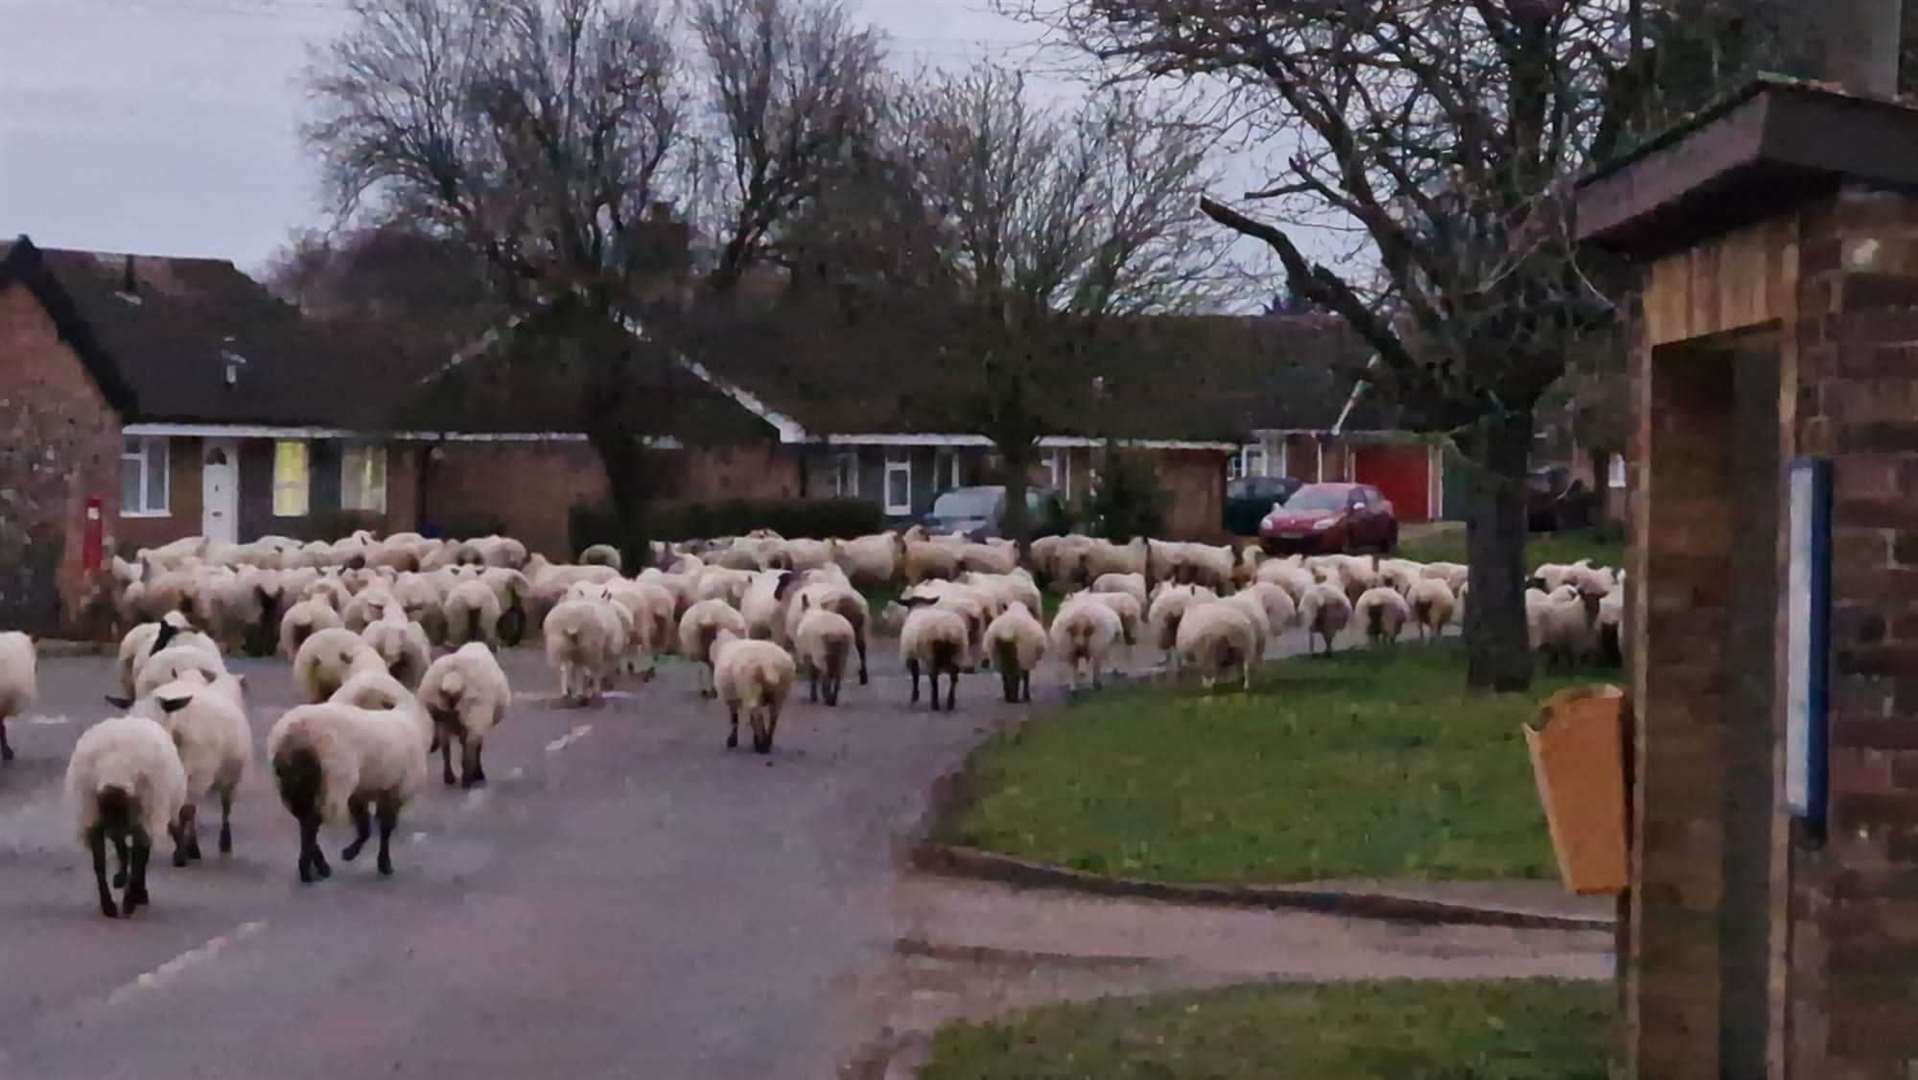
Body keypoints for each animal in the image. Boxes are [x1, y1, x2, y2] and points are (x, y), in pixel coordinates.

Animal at [67, 717, 187, 920]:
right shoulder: (96, 820)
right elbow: (102, 865)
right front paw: (112, 905)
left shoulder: (137, 821)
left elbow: (136, 861)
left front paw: (129, 900)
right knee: (127, 851)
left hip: (143, 817)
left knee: (137, 854)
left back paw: (135, 891)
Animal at [418, 640, 510, 786]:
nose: (432, 746)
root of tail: (453, 677)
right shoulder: (478, 721)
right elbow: (476, 746)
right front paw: (476, 773)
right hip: (476, 712)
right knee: (471, 746)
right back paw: (469, 778)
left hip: (442, 715)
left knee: (446, 747)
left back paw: (449, 777)